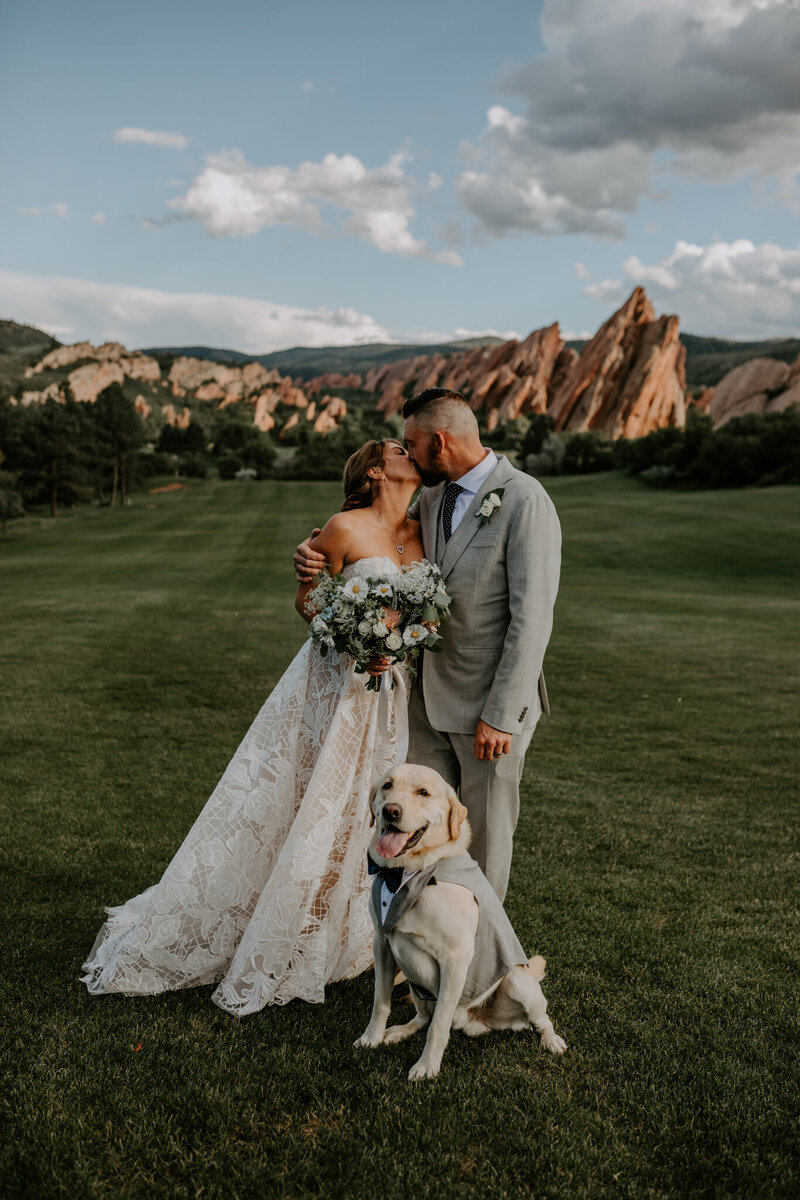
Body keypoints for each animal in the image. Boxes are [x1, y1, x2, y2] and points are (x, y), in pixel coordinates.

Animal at [357, 763, 568, 1084]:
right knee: (423, 1017)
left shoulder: (454, 961)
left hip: (518, 981)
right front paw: (372, 1037)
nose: (390, 811)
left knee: (540, 1019)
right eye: (387, 786)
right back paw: (400, 1031)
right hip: (416, 985)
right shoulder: (381, 944)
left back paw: (551, 1040)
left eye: (423, 792)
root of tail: (472, 1021)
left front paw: (427, 1066)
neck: (412, 873)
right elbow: (381, 1002)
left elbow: (438, 1027)